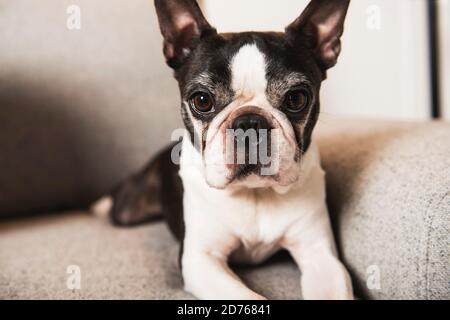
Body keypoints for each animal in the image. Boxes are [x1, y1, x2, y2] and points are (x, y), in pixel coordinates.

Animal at [96, 0, 356, 300]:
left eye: (296, 98)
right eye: (201, 100)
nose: (250, 123)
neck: (256, 193)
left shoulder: (320, 256)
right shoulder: (200, 260)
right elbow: (247, 296)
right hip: (130, 208)